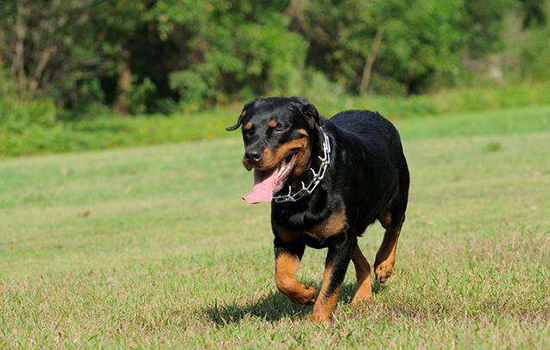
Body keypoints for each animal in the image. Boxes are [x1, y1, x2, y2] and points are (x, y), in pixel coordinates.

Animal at [226, 96, 412, 322]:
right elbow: (283, 278)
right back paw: (362, 295)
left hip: (392, 203)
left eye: (279, 128)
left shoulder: (341, 240)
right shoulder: (287, 239)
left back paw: (384, 264)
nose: (251, 155)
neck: (304, 186)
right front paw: (305, 294)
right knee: (360, 253)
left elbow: (330, 287)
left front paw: (318, 321)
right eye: (247, 130)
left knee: (395, 226)